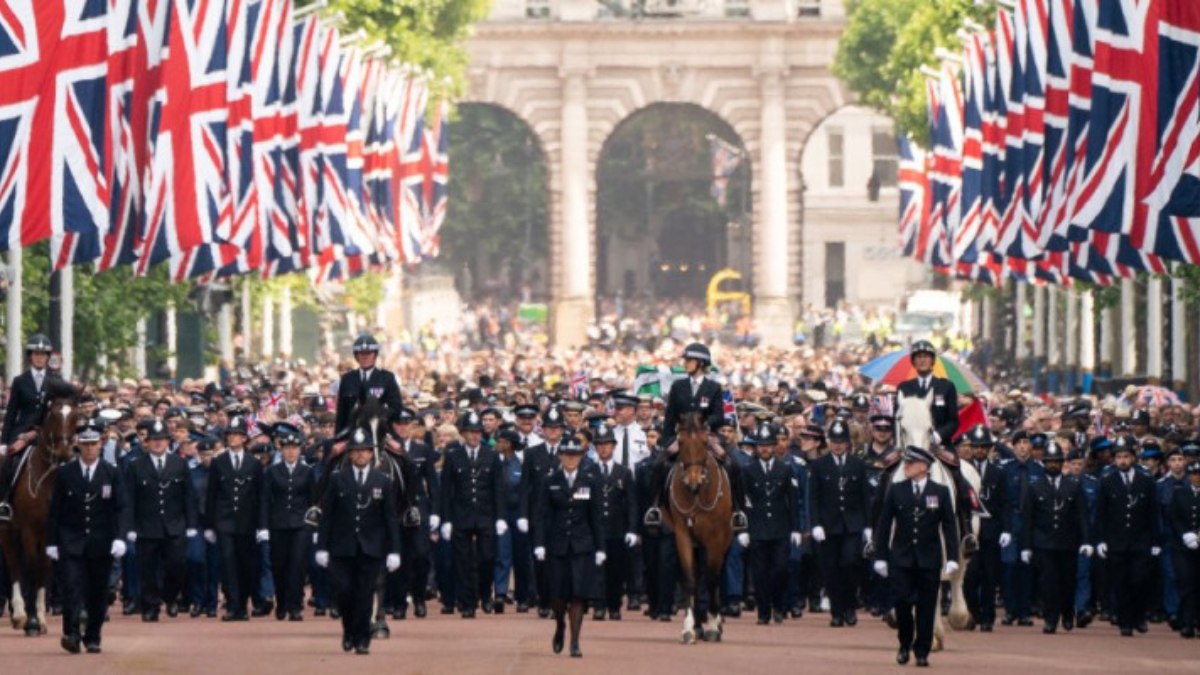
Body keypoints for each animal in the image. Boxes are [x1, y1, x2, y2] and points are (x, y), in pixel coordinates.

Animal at [0, 396, 80, 634]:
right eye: (53, 414)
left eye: (76, 415)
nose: (64, 452)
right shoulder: (29, 530)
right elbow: (32, 566)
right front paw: (32, 621)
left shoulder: (49, 532)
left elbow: (45, 567)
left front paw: (41, 618)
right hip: (7, 530)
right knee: (15, 564)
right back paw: (19, 615)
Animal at [662, 410, 734, 638]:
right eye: (680, 441)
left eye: (704, 441)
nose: (694, 482)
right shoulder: (683, 534)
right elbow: (690, 578)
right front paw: (689, 627)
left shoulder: (716, 537)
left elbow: (712, 577)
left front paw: (712, 624)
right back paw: (699, 624)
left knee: (715, 574)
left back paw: (713, 622)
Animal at [897, 391, 979, 648]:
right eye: (902, 426)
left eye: (930, 427)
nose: (916, 458)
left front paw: (931, 636)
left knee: (957, 573)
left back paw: (957, 617)